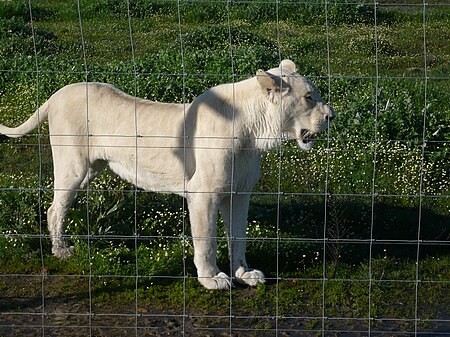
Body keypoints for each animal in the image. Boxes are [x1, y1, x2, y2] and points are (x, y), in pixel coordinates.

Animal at [0, 60, 334, 288]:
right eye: (309, 97)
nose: (331, 116)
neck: (255, 133)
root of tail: (57, 93)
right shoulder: (203, 193)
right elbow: (207, 240)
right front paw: (212, 279)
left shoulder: (239, 194)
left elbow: (238, 236)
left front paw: (244, 274)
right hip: (73, 166)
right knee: (54, 208)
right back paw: (61, 251)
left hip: (90, 169)